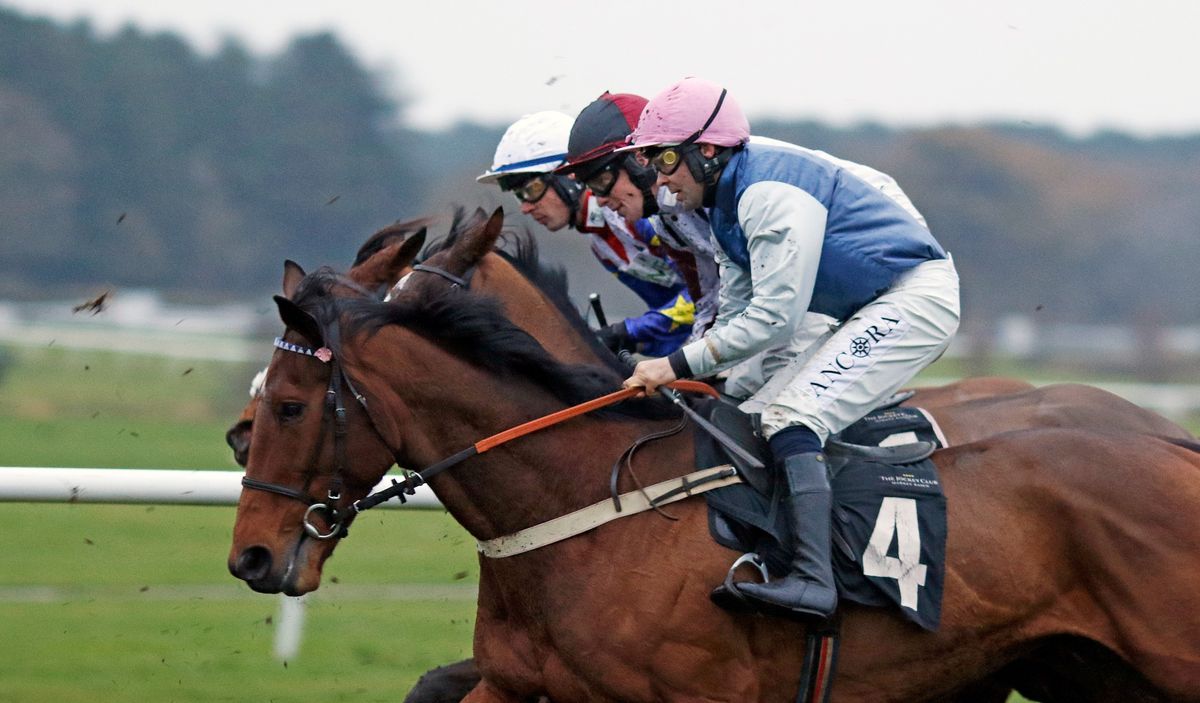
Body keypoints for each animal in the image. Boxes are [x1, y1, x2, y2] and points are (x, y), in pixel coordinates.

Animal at [226, 215, 1200, 695]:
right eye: (262, 402)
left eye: (289, 403)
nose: (252, 556)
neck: (584, 506)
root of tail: (1171, 443)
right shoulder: (521, 685)